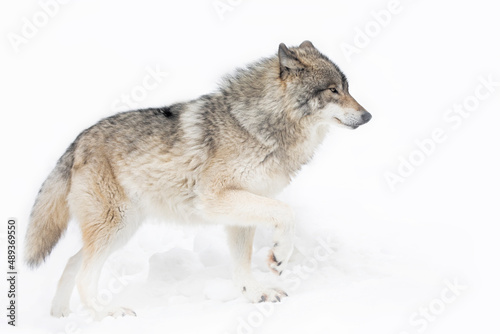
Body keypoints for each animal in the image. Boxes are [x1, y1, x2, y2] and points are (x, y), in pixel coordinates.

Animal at [24, 41, 372, 318]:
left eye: (347, 88)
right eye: (333, 90)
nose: (368, 116)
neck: (257, 127)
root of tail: (77, 142)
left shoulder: (241, 211)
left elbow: (242, 265)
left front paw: (256, 293)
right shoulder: (215, 199)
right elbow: (286, 213)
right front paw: (279, 256)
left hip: (121, 229)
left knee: (72, 262)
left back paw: (59, 314)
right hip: (115, 226)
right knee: (84, 275)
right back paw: (108, 313)